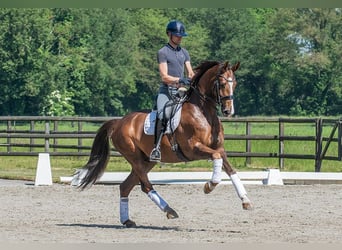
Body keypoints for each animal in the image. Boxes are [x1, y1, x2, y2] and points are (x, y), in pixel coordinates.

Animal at [72, 60, 252, 227]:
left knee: (125, 186)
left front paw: (245, 200)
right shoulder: (193, 148)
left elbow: (230, 169)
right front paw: (209, 185)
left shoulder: (219, 148)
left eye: (235, 84)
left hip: (147, 161)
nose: (229, 111)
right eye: (222, 84)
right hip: (134, 157)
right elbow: (216, 159)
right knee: (145, 186)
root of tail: (119, 122)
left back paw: (127, 220)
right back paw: (169, 210)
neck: (203, 113)